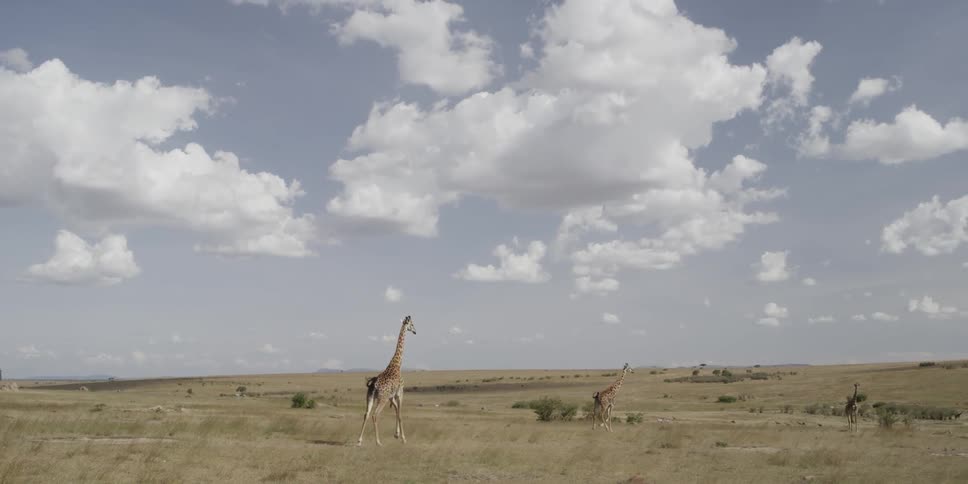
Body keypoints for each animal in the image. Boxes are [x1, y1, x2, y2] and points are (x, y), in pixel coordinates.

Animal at [357, 315, 416, 447]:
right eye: (412, 324)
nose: (415, 331)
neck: (397, 364)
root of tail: (373, 385)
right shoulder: (400, 393)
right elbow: (400, 414)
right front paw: (403, 438)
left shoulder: (391, 396)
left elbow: (396, 411)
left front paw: (397, 434)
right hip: (382, 399)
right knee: (375, 415)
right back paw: (378, 442)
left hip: (369, 398)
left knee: (366, 414)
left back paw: (359, 441)